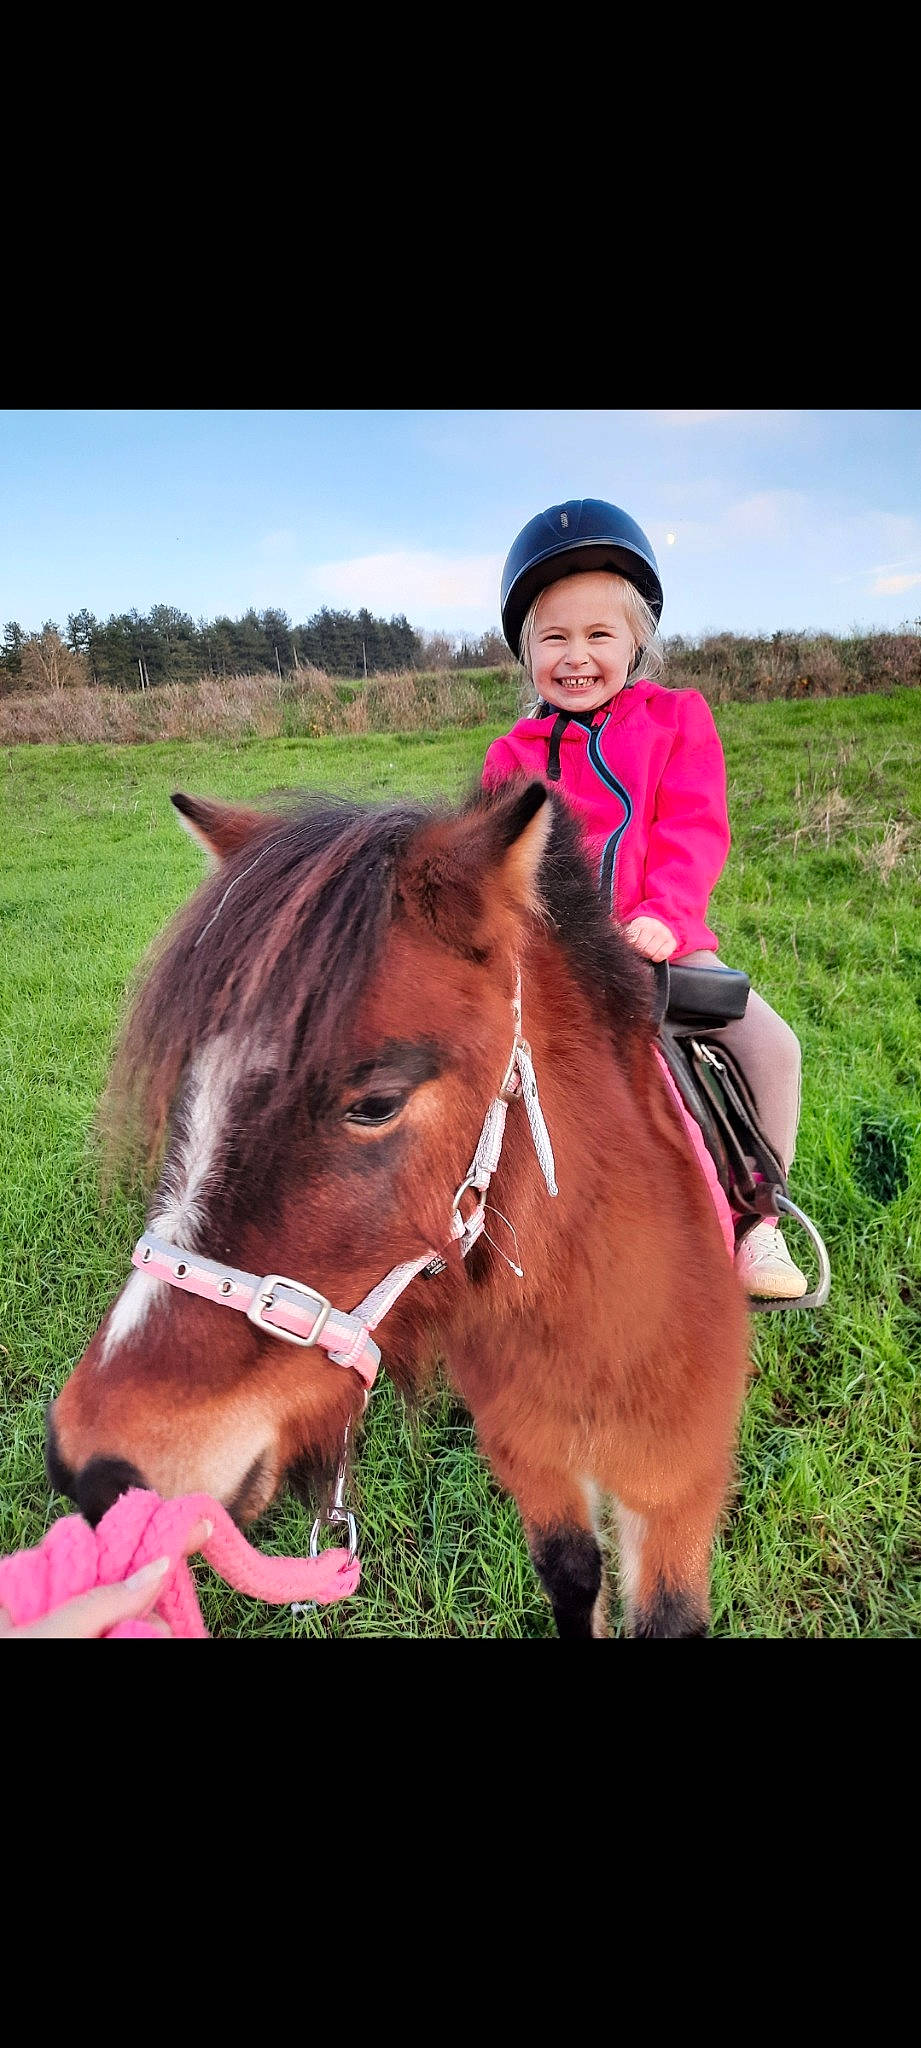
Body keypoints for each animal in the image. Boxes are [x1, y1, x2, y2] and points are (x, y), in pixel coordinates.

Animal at [45, 776, 753, 1639]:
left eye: (376, 1103)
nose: (91, 1462)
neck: (592, 1311)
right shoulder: (534, 1462)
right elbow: (571, 1576)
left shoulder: (675, 1487)